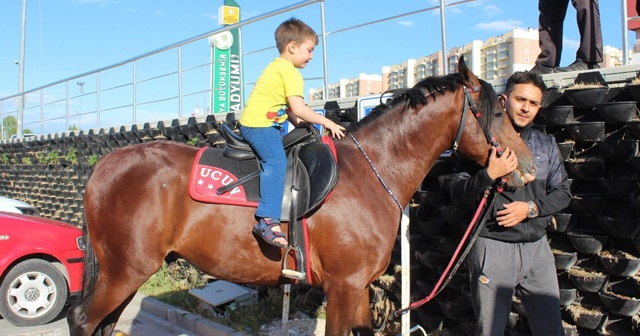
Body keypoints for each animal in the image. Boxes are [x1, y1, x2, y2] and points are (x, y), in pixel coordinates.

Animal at [67, 59, 536, 334]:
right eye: (498, 111)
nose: (528, 165)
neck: (373, 170)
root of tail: (106, 166)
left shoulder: (358, 288)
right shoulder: (344, 287)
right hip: (126, 269)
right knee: (83, 318)